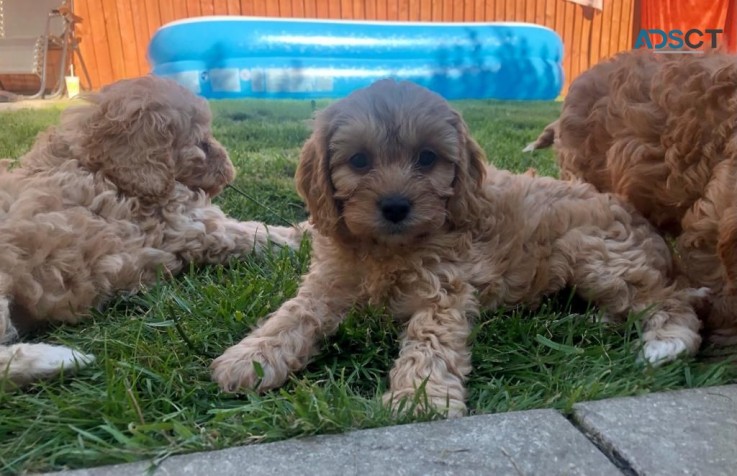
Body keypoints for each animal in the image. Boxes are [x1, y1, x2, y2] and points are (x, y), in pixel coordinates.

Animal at [0, 75, 304, 386]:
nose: (231, 170)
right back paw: (61, 358)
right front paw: (302, 235)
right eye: (202, 143)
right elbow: (255, 232)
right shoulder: (190, 225)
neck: (104, 170)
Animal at [211, 80, 700, 418]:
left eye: (427, 159)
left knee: (673, 299)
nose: (395, 206)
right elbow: (292, 314)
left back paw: (664, 340)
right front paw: (251, 357)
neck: (388, 248)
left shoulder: (445, 286)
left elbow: (431, 339)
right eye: (359, 161)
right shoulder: (327, 282)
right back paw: (587, 320)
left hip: (592, 252)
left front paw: (421, 398)